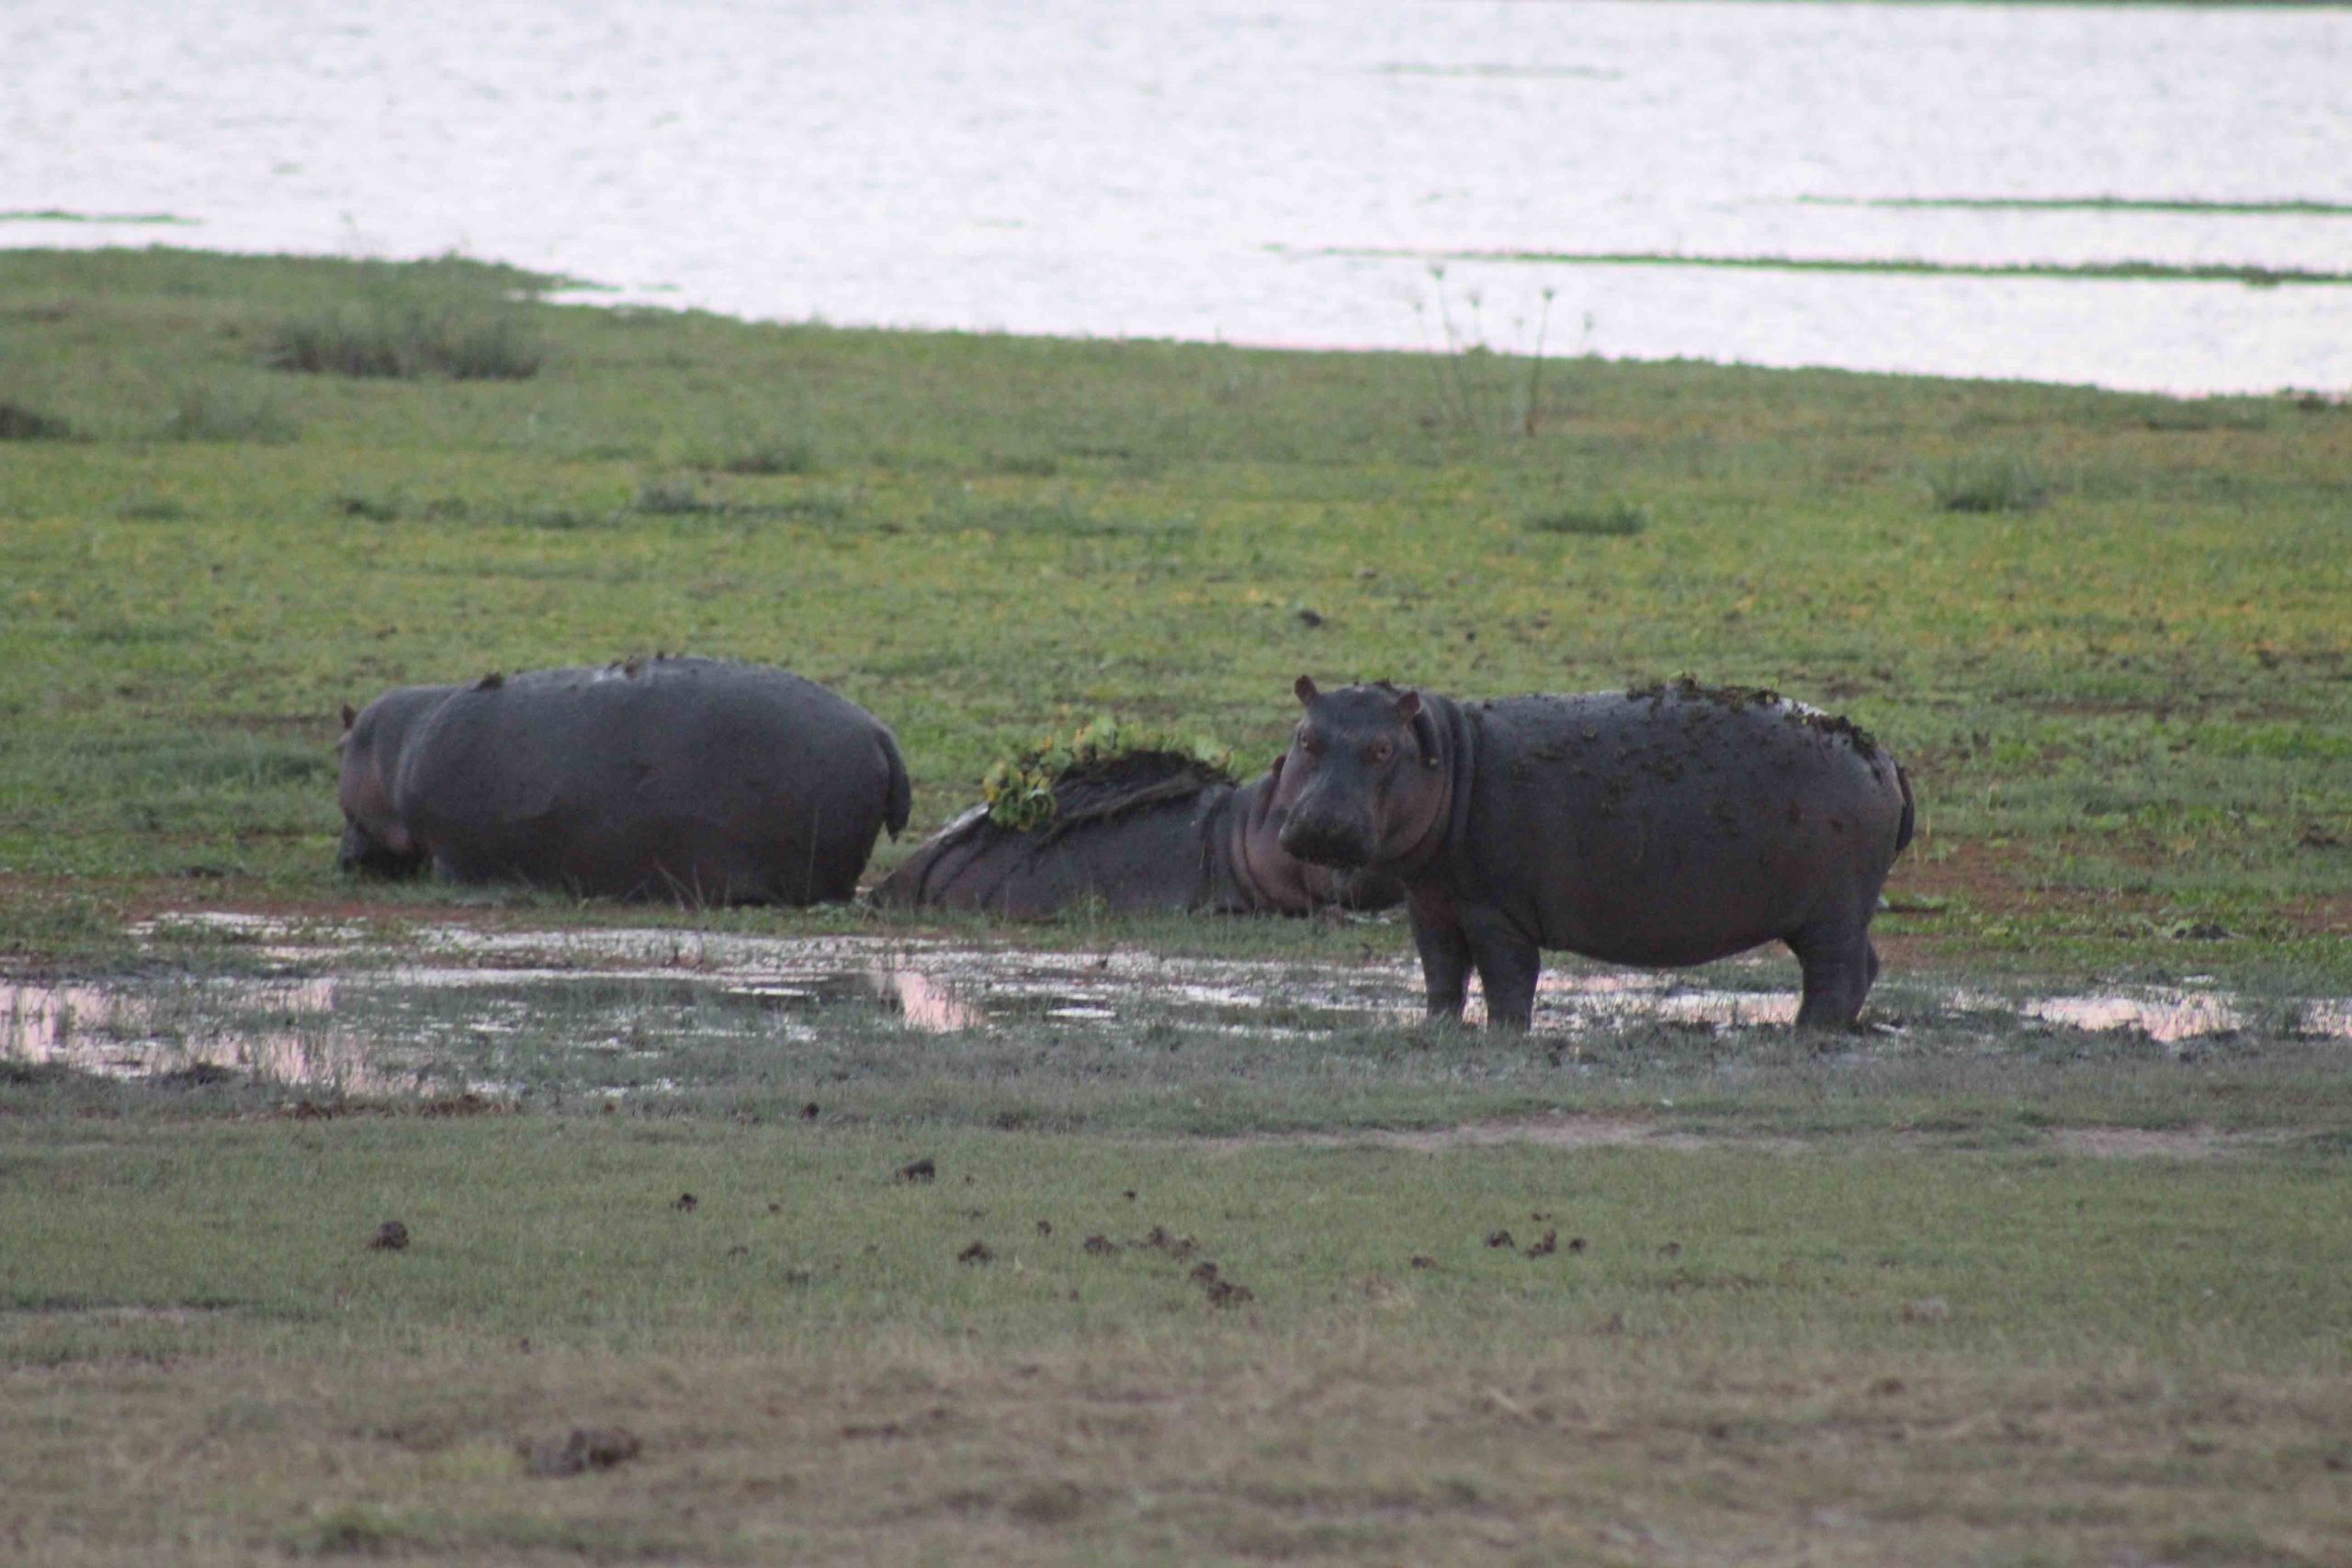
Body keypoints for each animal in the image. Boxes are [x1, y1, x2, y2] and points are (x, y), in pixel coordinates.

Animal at [1270, 676, 1915, 1030]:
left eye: (1382, 748)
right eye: (1305, 737)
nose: (1321, 822)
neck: (1450, 754)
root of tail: (1882, 755)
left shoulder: (1494, 912)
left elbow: (1508, 977)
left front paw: (1504, 1034)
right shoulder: (1431, 906)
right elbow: (1441, 974)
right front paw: (1436, 1030)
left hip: (1832, 909)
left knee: (1835, 973)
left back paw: (1804, 1032)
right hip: (1839, 911)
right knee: (1862, 966)